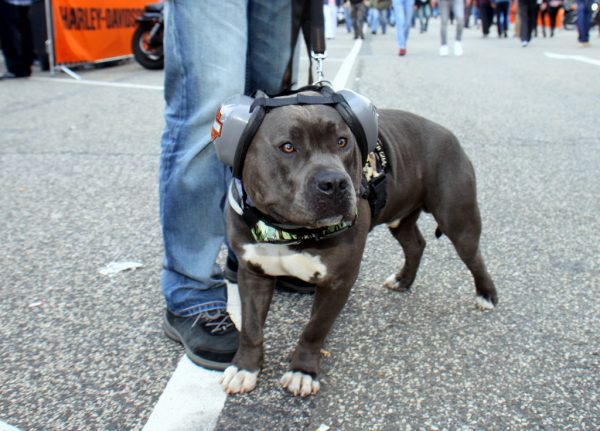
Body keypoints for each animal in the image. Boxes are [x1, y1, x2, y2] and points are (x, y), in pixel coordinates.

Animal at [219, 103, 496, 396]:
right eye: (287, 147)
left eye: (342, 142)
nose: (334, 182)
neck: (287, 230)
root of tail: (447, 133)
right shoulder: (253, 273)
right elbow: (251, 327)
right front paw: (245, 368)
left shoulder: (338, 281)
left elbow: (315, 329)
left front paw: (302, 371)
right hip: (402, 217)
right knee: (415, 244)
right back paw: (403, 280)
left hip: (458, 219)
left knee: (474, 257)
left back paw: (486, 295)